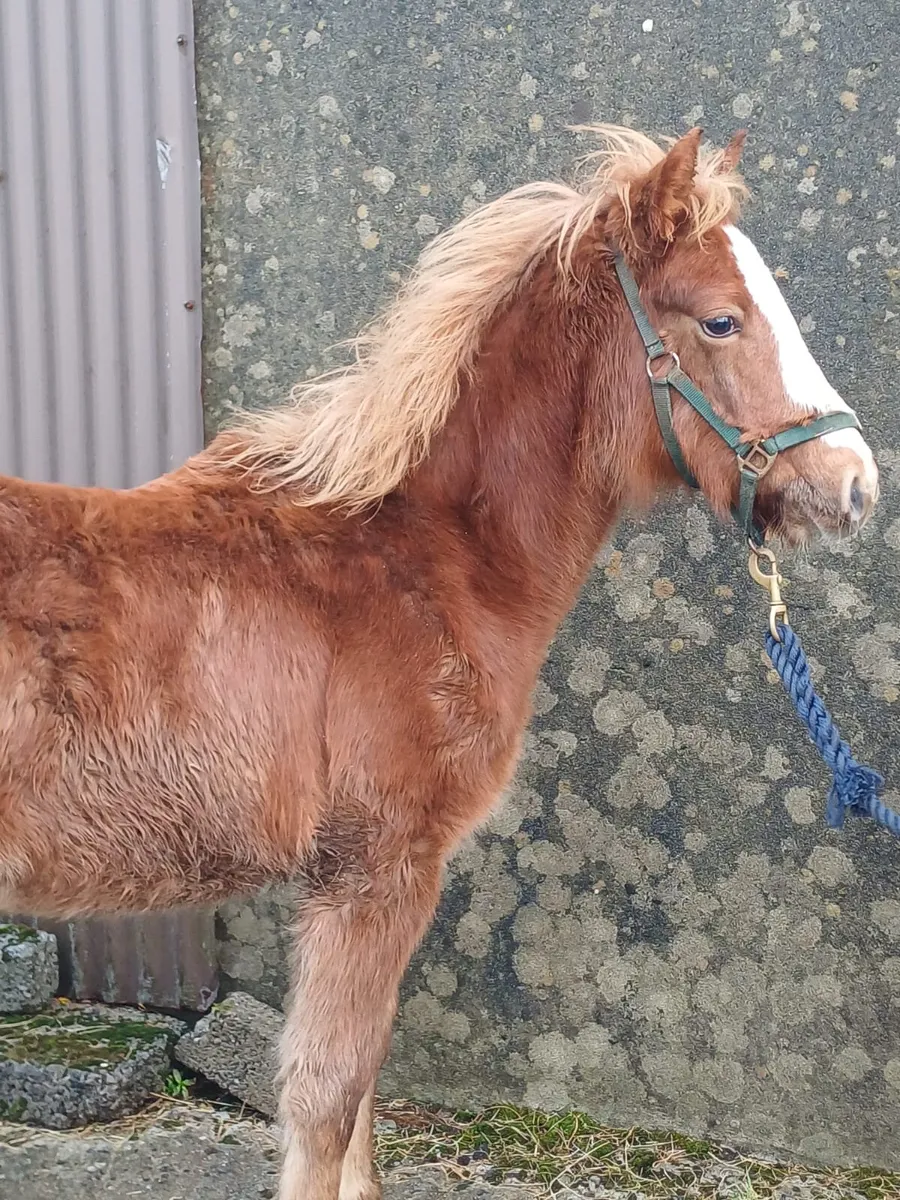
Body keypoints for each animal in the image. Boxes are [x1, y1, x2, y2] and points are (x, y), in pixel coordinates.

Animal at [0, 125, 878, 1199]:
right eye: (720, 320)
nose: (853, 486)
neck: (419, 561)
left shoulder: (358, 883)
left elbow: (360, 1097)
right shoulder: (379, 871)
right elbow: (326, 1100)